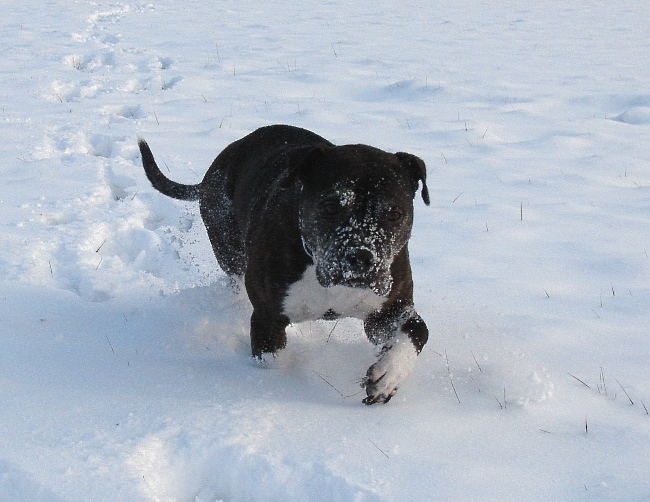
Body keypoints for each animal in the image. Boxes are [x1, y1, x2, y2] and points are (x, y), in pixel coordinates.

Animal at [139, 125, 428, 404]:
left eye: (394, 214)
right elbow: (270, 361)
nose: (361, 257)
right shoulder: (268, 320)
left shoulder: (387, 312)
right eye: (330, 207)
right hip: (228, 247)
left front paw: (389, 375)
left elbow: (417, 332)